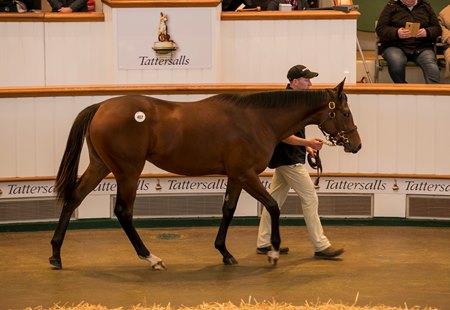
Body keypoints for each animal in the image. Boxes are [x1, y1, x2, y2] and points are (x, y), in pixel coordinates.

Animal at [50, 79, 362, 268]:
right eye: (345, 112)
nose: (356, 145)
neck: (258, 119)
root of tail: (101, 106)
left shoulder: (236, 176)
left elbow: (228, 210)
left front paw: (225, 252)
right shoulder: (246, 174)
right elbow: (273, 206)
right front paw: (273, 251)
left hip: (100, 165)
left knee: (74, 198)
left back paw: (55, 254)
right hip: (128, 171)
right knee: (123, 212)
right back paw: (151, 257)